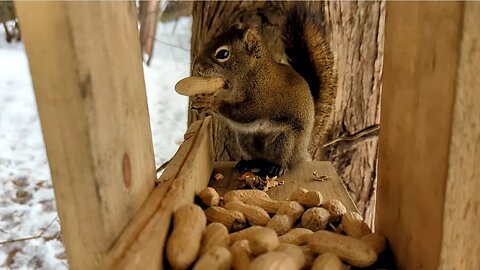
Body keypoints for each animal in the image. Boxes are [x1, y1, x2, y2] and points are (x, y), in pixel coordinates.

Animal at [189, 4, 336, 178]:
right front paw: (201, 99)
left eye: (223, 53)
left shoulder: (262, 99)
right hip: (245, 138)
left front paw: (210, 102)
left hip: (285, 141)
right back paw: (247, 163)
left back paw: (277, 168)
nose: (196, 67)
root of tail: (303, 151)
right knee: (257, 158)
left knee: (284, 159)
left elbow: (245, 112)